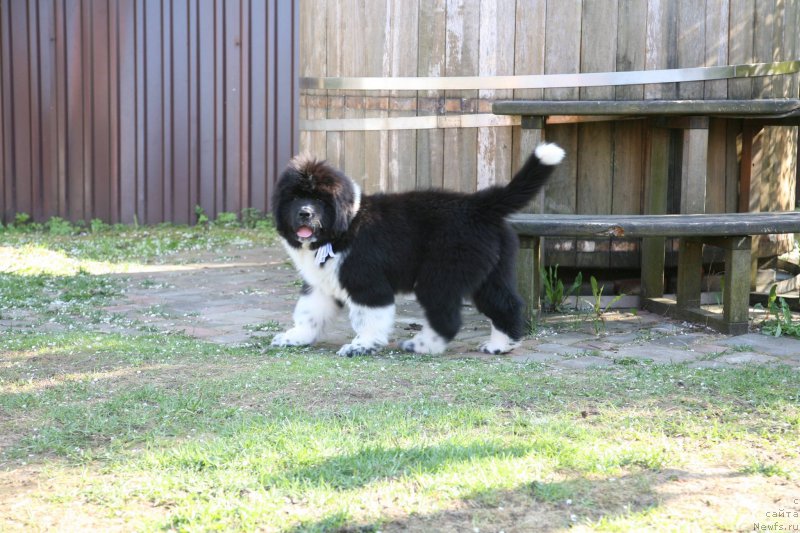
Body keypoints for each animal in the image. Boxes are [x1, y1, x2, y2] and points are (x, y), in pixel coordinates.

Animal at [272, 143, 564, 356]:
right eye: (296, 197)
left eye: (320, 199)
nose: (305, 213)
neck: (344, 226)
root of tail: (479, 205)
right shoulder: (321, 284)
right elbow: (309, 313)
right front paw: (295, 337)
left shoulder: (367, 284)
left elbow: (368, 317)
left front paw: (361, 346)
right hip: (490, 272)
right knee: (507, 304)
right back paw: (500, 346)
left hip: (440, 275)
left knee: (447, 317)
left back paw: (422, 345)